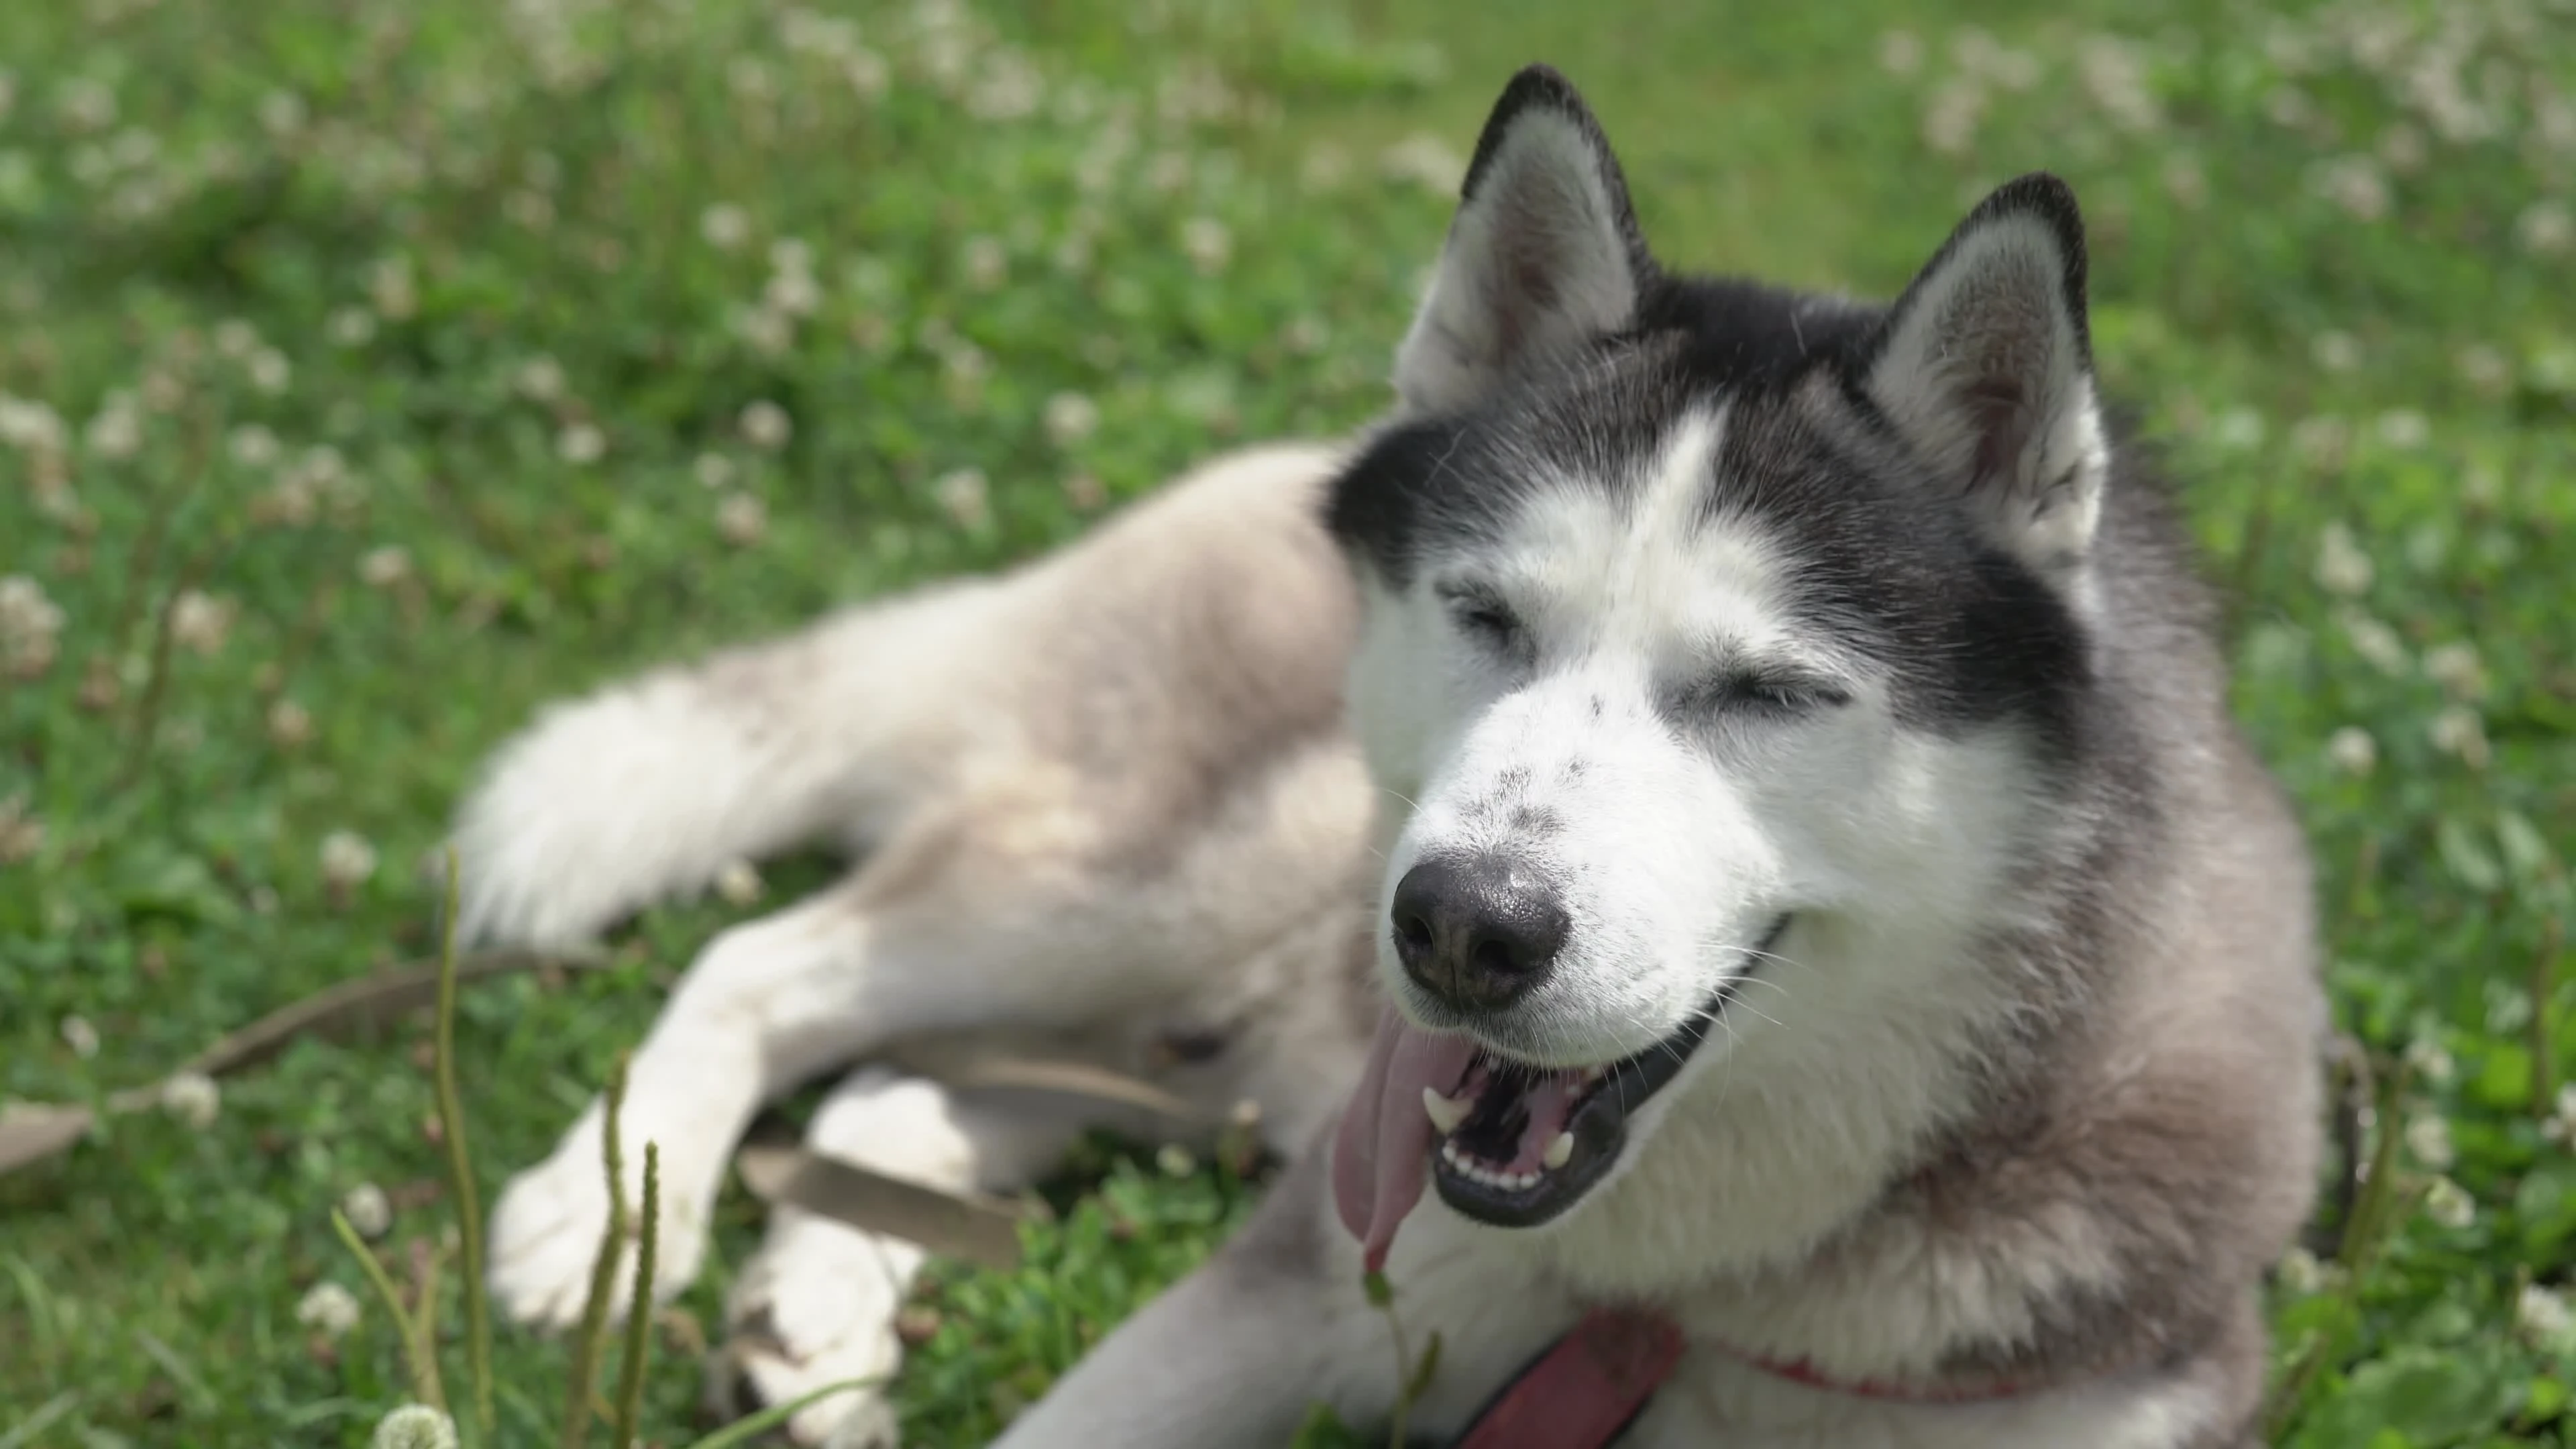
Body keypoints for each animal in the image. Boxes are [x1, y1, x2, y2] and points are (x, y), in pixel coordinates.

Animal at [468, 67, 2339, 1444]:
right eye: (1487, 613)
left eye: (1768, 690)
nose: (1463, 927)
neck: (1679, 1299)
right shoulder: (1290, 1292)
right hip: (1149, 886)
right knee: (770, 962)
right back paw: (607, 1219)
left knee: (914, 1081)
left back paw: (817, 1308)